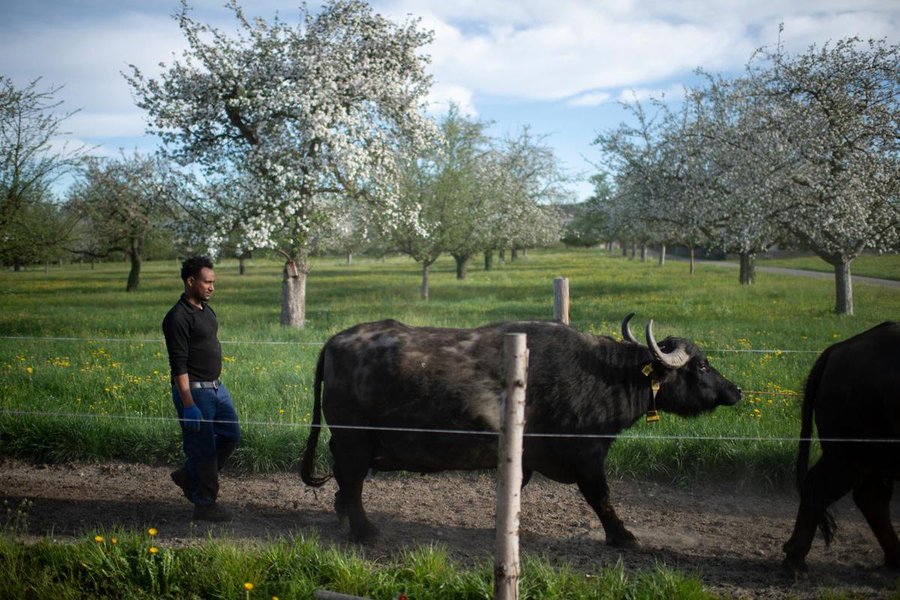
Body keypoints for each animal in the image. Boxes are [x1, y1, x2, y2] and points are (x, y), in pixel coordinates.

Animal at [298, 316, 740, 540]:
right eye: (702, 365)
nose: (735, 390)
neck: (603, 375)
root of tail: (334, 341)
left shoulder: (525, 459)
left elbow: (515, 489)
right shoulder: (587, 456)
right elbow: (601, 497)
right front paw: (623, 536)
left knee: (345, 479)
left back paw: (343, 514)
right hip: (354, 439)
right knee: (351, 479)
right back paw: (364, 530)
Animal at [780, 318, 900, 572]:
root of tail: (838, 349)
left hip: (876, 459)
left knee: (871, 497)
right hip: (851, 455)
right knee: (822, 487)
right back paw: (795, 560)